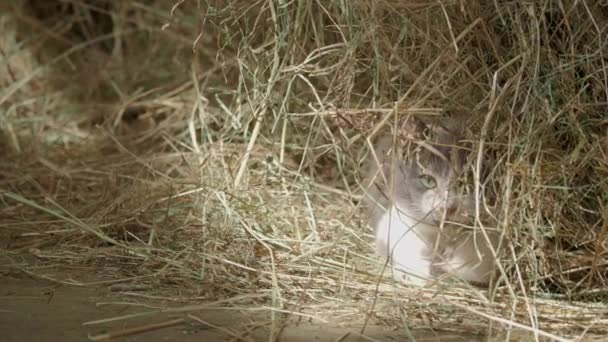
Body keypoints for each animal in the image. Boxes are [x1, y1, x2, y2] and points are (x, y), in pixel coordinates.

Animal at [360, 117, 498, 286]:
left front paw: (444, 264)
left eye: (464, 185)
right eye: (428, 180)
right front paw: (413, 273)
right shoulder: (394, 220)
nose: (448, 208)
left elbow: (479, 264)